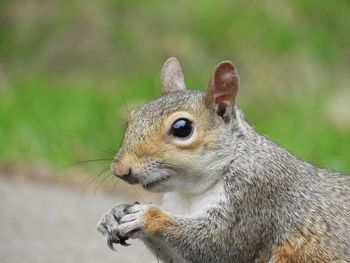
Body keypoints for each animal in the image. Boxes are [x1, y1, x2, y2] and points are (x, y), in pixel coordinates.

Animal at [97, 58, 350, 263]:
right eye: (132, 117)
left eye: (182, 128)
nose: (119, 169)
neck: (190, 193)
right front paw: (115, 213)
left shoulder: (256, 196)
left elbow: (219, 244)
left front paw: (148, 216)